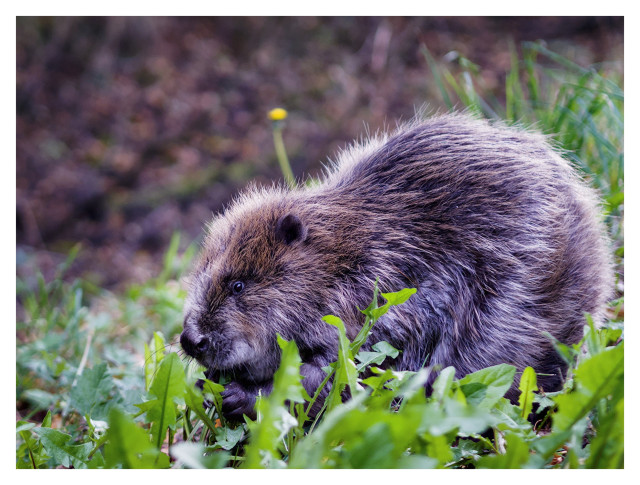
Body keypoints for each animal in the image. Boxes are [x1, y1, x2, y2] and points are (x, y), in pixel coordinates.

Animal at [178, 114, 612, 420]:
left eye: (238, 285)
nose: (190, 339)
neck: (353, 253)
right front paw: (211, 384)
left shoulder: (393, 300)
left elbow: (344, 372)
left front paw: (241, 396)